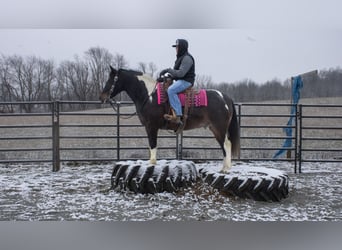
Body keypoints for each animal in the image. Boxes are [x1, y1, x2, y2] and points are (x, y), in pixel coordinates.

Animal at [99, 65, 239, 173]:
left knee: (226, 144)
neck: (149, 96)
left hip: (219, 128)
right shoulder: (148, 127)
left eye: (111, 80)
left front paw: (152, 163)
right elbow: (151, 145)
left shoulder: (151, 127)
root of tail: (225, 97)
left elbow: (153, 145)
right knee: (226, 144)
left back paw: (226, 169)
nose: (102, 97)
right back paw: (225, 167)